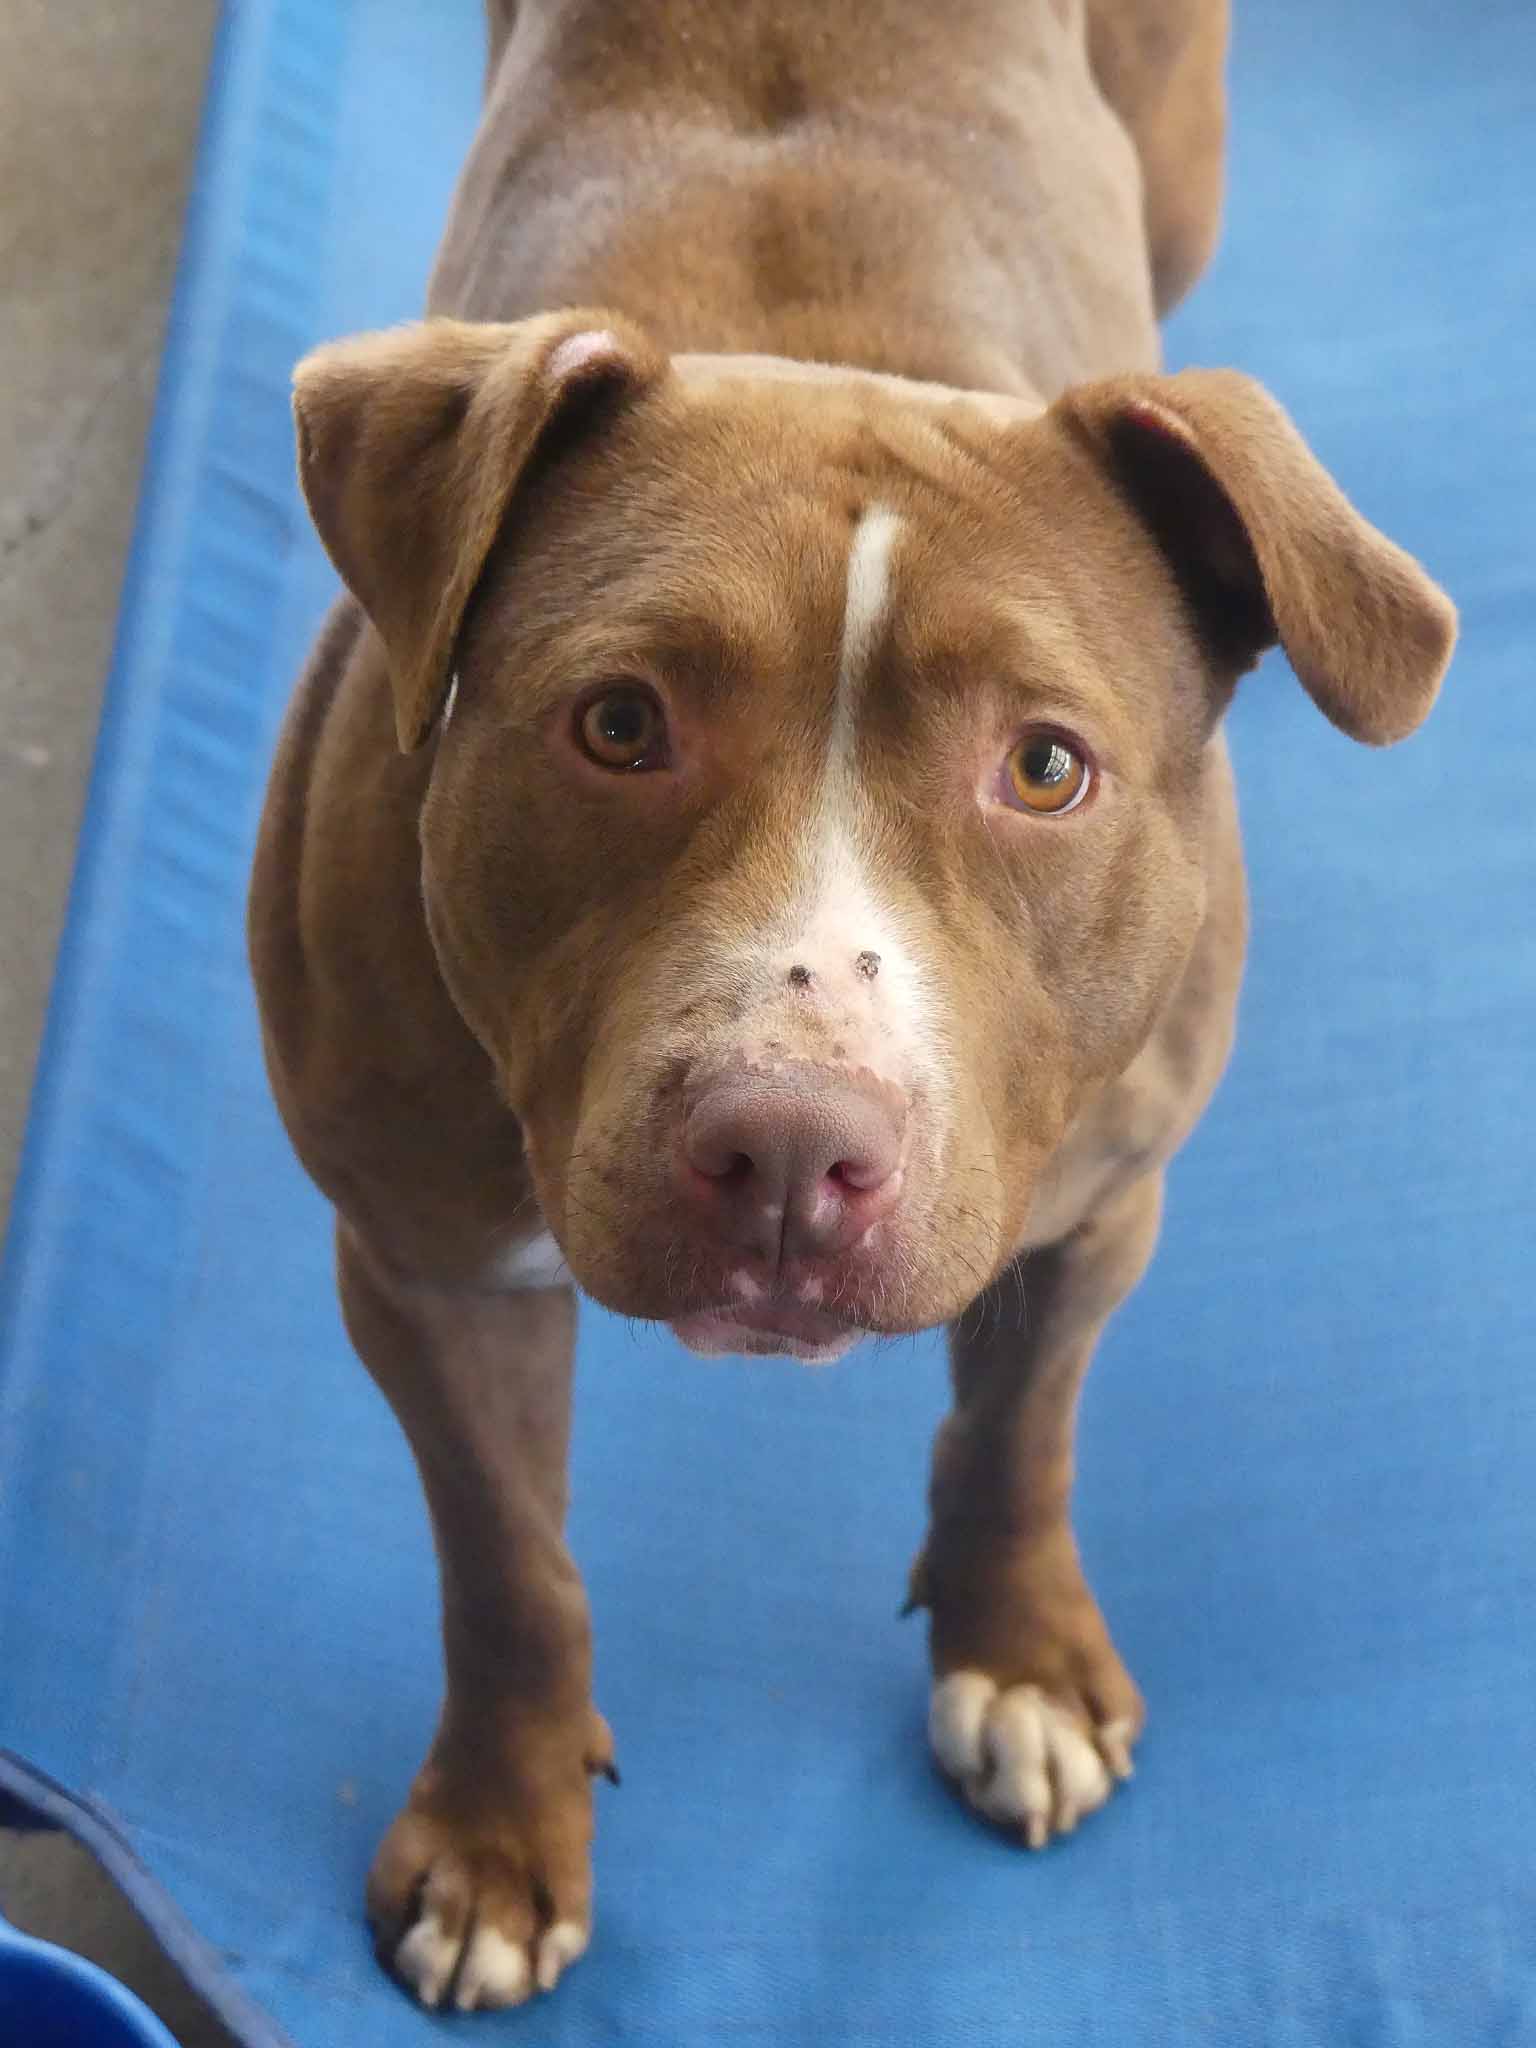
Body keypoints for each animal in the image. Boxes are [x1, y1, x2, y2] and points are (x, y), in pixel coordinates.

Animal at [248, 0, 1455, 2011]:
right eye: (619, 722)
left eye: (1044, 766)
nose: (790, 1152)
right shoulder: (421, 1263)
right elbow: (508, 1560)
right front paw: (500, 1834)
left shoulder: (1095, 1203)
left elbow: (1020, 1431)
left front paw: (1016, 1652)